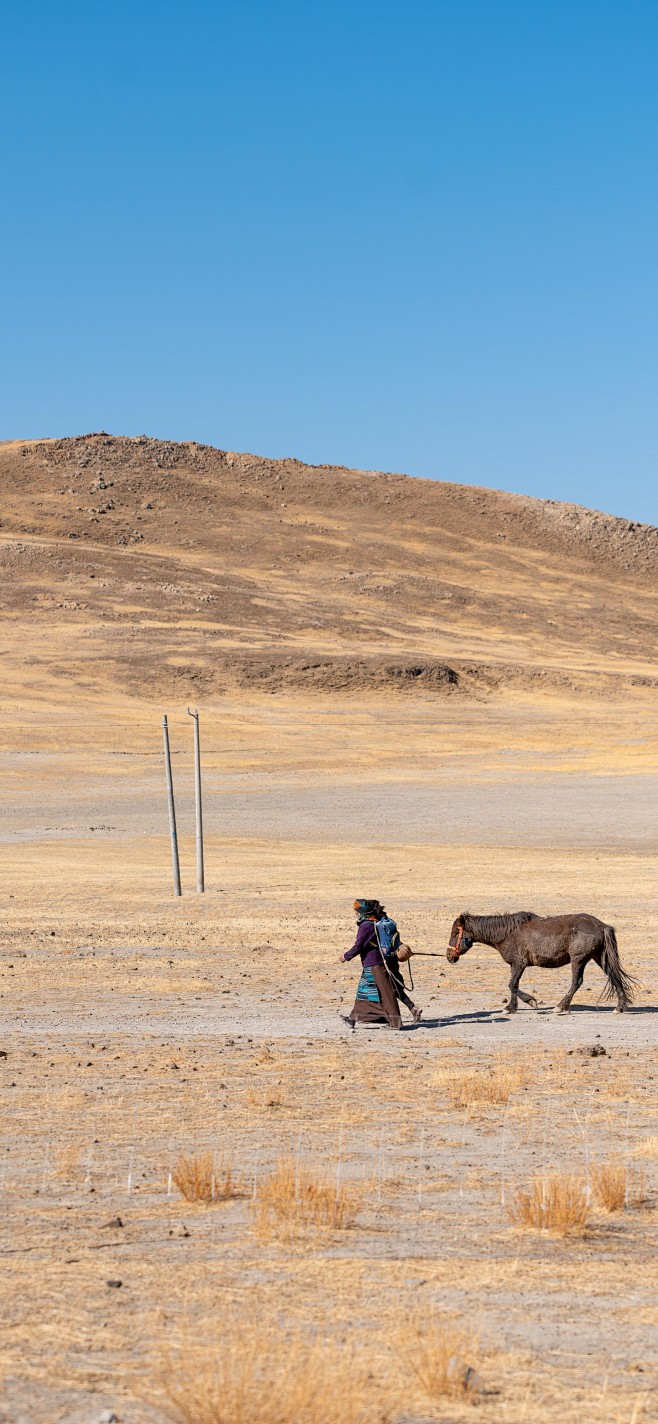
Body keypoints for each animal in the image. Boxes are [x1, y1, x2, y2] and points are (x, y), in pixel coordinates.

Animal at [444, 911, 635, 1013]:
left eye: (455, 933)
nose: (449, 956)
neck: (507, 933)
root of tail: (601, 926)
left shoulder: (519, 964)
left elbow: (512, 984)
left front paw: (529, 1002)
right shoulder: (515, 965)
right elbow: (514, 985)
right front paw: (512, 1007)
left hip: (578, 960)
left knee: (577, 982)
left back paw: (560, 1006)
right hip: (600, 958)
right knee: (615, 977)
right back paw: (620, 1007)